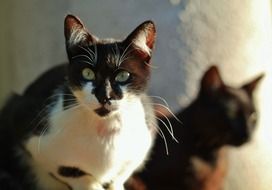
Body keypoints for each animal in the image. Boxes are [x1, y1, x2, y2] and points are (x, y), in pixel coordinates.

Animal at [0, 14, 157, 190]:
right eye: (87, 73)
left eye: (123, 76)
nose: (104, 96)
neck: (103, 129)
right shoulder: (27, 125)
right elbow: (68, 170)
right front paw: (91, 184)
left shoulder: (144, 139)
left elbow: (120, 174)